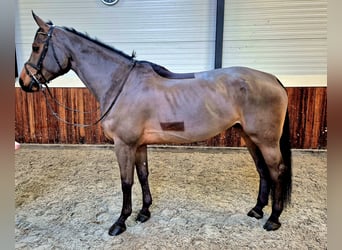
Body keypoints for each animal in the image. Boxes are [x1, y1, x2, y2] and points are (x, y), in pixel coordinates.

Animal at [18, 12, 292, 235]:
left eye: (36, 47)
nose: (23, 82)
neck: (122, 84)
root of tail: (273, 79)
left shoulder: (124, 145)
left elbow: (126, 182)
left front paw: (120, 222)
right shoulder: (138, 145)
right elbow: (142, 175)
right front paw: (144, 212)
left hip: (266, 140)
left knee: (277, 171)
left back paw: (273, 219)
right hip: (249, 137)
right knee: (262, 170)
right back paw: (257, 210)